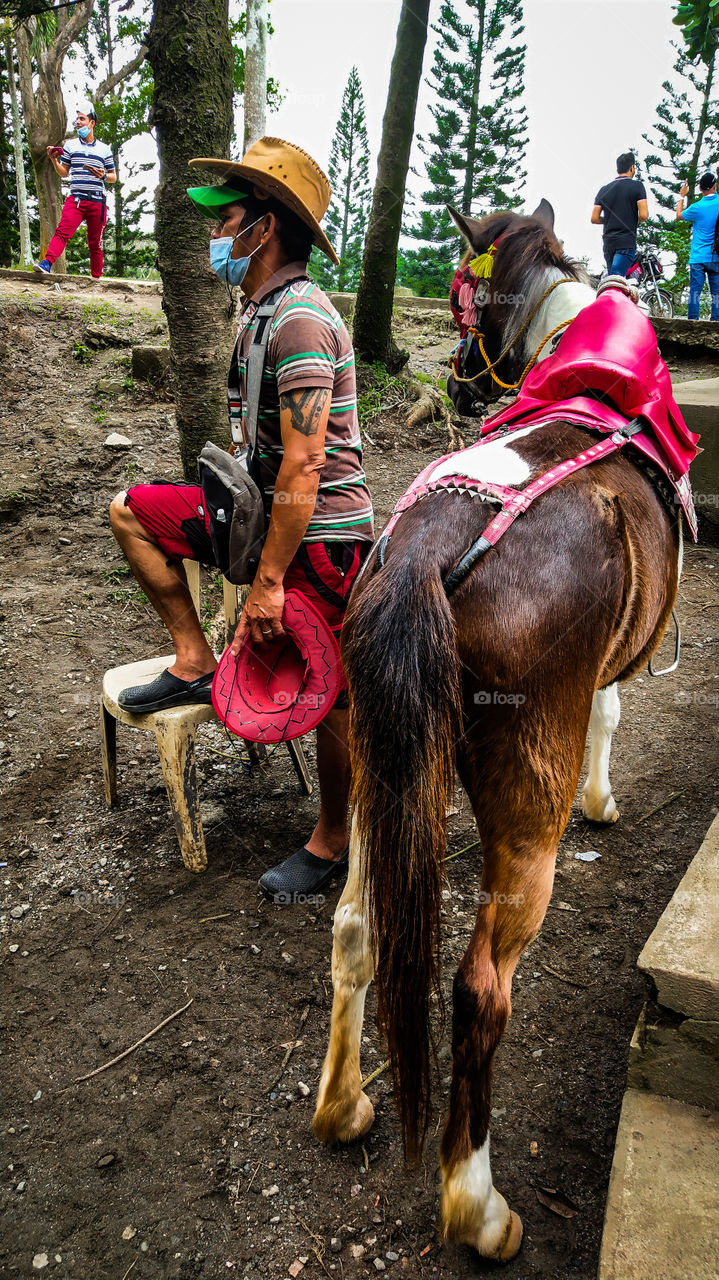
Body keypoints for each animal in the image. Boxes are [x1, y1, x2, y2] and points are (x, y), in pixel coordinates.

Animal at [312, 202, 687, 1261]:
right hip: (525, 805)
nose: (463, 383)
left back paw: (343, 1106)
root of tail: (425, 551)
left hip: (378, 763)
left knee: (354, 925)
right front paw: (604, 800)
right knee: (481, 989)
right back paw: (476, 1206)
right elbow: (610, 710)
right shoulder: (610, 671)